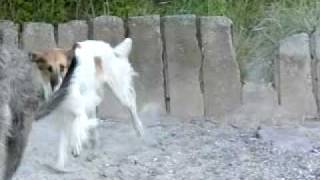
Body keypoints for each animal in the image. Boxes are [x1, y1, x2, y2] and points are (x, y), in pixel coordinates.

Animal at [36, 38, 144, 172]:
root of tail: (111, 50)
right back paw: (93, 147)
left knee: (131, 103)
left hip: (119, 92)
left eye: (62, 67)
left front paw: (76, 145)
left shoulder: (79, 110)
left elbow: (77, 127)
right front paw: (60, 165)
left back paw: (138, 128)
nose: (57, 87)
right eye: (48, 68)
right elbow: (63, 143)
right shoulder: (64, 115)